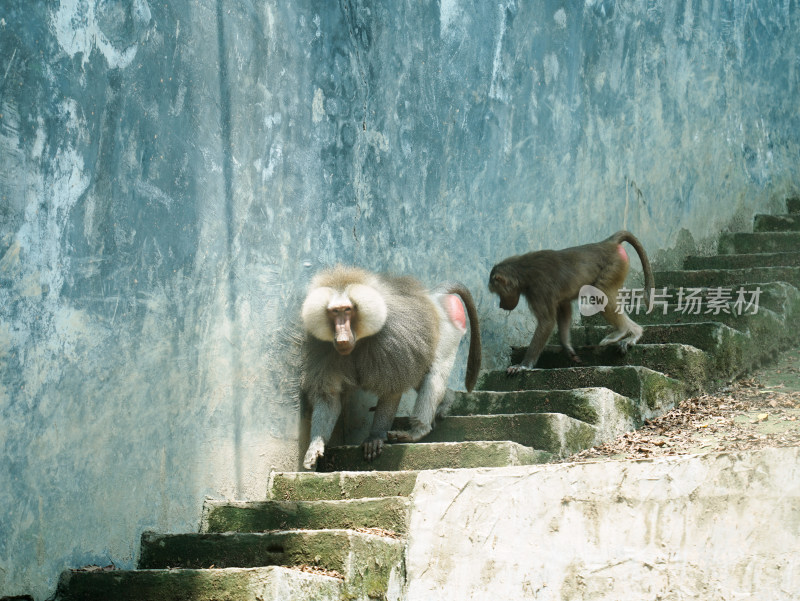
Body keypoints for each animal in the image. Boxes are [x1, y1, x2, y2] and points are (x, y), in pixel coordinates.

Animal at [300, 266, 482, 468]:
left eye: (347, 310)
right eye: (334, 312)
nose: (341, 337)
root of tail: (434, 297)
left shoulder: (391, 341)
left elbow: (392, 390)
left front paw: (374, 437)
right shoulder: (321, 346)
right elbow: (329, 397)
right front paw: (315, 446)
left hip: (448, 330)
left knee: (434, 375)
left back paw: (417, 431)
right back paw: (446, 402)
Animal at [488, 229, 656, 370]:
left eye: (498, 293)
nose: (501, 305)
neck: (523, 272)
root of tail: (607, 243)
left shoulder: (539, 291)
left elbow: (547, 322)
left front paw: (524, 365)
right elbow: (564, 308)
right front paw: (567, 347)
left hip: (614, 265)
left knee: (600, 294)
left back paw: (624, 331)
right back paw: (633, 333)